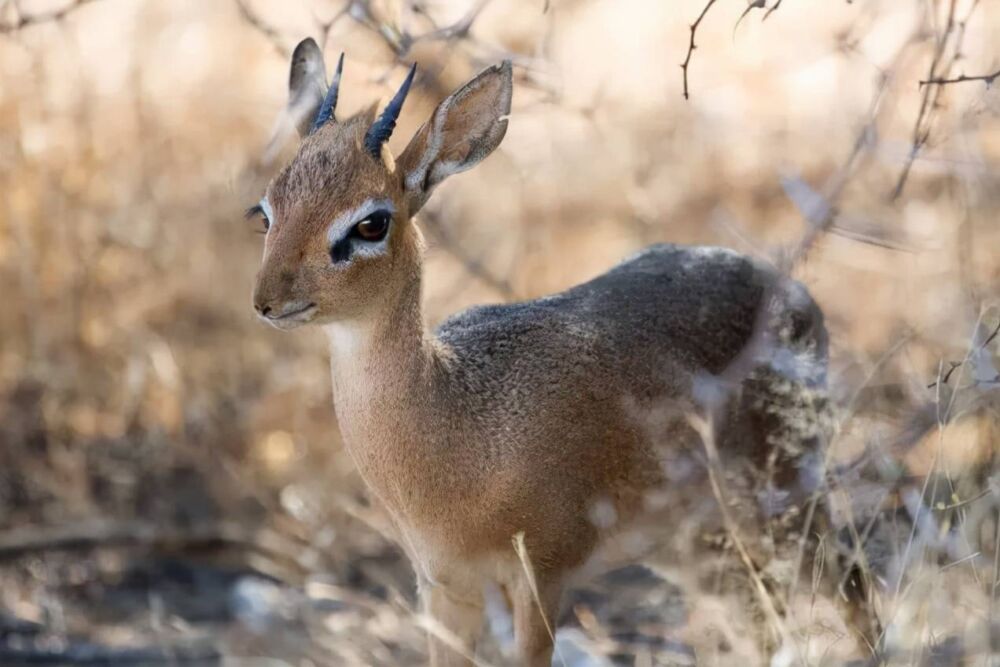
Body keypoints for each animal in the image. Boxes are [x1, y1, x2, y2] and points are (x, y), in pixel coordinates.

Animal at [254, 37, 832, 667]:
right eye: (266, 211)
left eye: (371, 223)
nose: (266, 300)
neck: (455, 425)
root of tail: (792, 292)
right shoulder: (445, 589)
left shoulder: (543, 578)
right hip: (698, 546)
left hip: (790, 504)